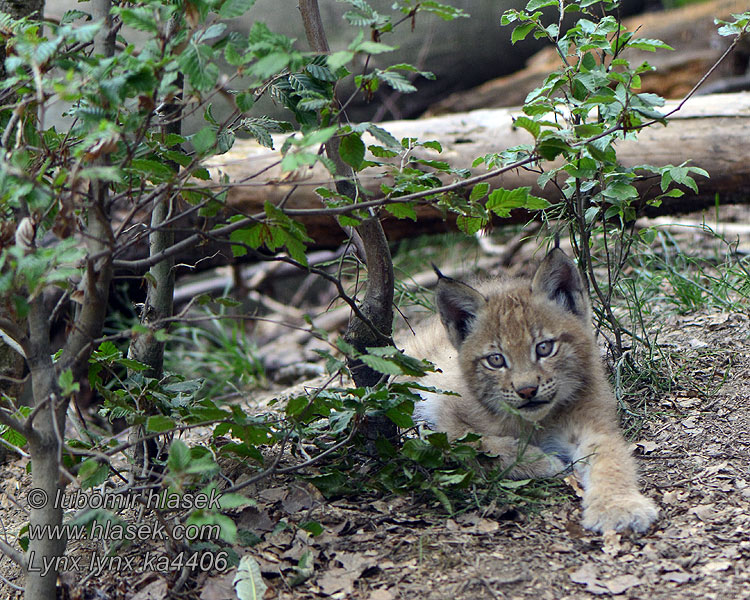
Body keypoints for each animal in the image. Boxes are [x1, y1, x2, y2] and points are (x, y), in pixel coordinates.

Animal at [406, 248, 656, 536]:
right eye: (496, 360)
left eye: (544, 348)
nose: (527, 390)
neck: (538, 421)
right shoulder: (447, 418)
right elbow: (479, 445)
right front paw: (546, 462)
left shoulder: (595, 423)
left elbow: (610, 460)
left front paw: (618, 506)